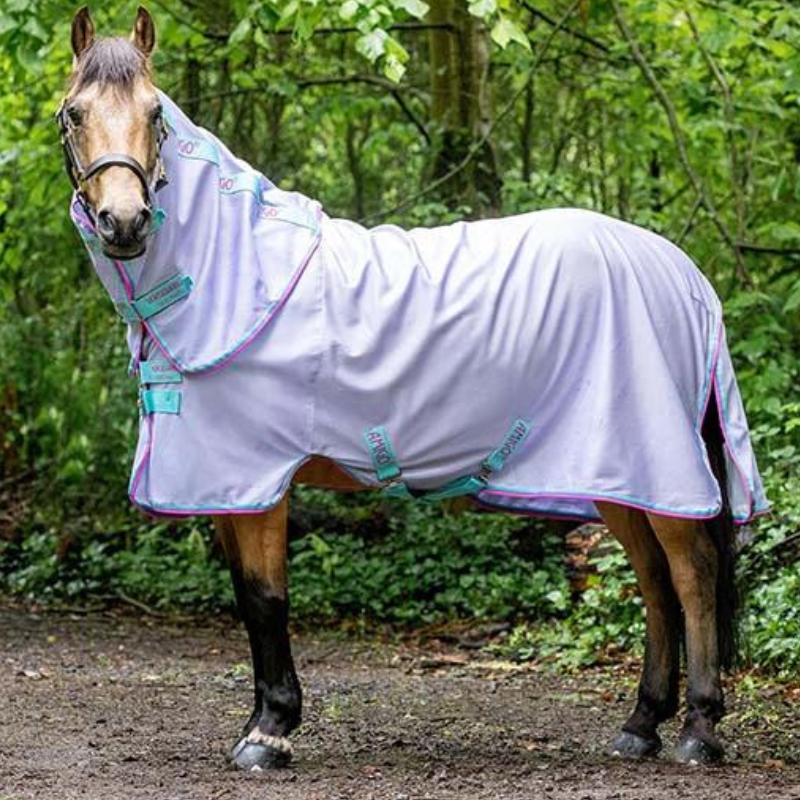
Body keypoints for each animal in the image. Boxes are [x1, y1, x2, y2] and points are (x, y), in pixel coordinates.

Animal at [58, 6, 767, 772]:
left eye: (155, 114)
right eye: (75, 113)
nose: (125, 222)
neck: (241, 271)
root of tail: (682, 272)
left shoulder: (258, 479)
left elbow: (268, 598)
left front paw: (269, 731)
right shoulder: (224, 486)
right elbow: (248, 599)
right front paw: (263, 721)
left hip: (660, 467)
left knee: (692, 574)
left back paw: (699, 730)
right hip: (617, 473)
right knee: (654, 583)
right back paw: (640, 724)